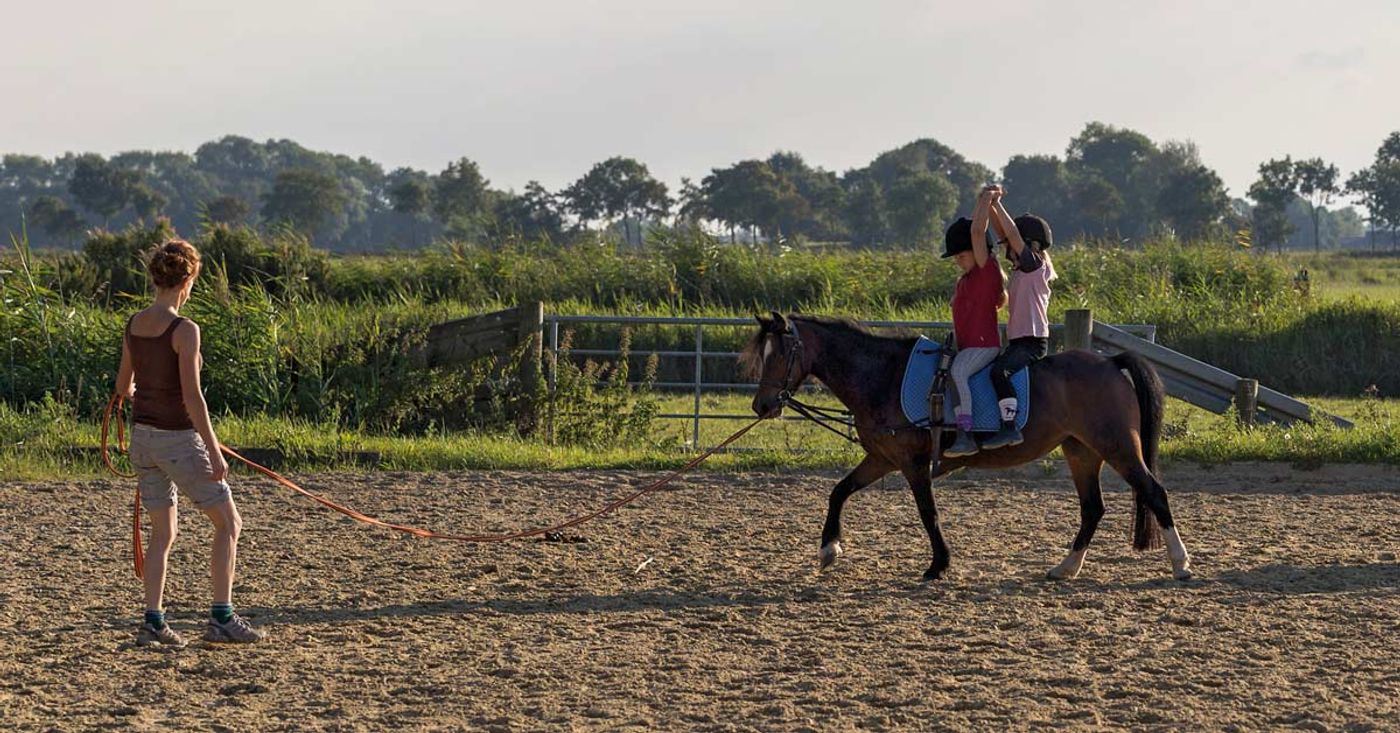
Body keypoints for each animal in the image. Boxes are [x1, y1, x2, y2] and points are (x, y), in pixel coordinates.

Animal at [739, 311, 1187, 581]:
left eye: (779, 354)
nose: (762, 405)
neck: (883, 375)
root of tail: (1110, 362)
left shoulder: (913, 463)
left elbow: (928, 513)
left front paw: (938, 564)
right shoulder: (882, 457)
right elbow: (839, 490)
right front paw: (829, 548)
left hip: (1117, 447)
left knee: (1154, 492)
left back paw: (1181, 563)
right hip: (1081, 451)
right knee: (1093, 508)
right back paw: (1065, 567)